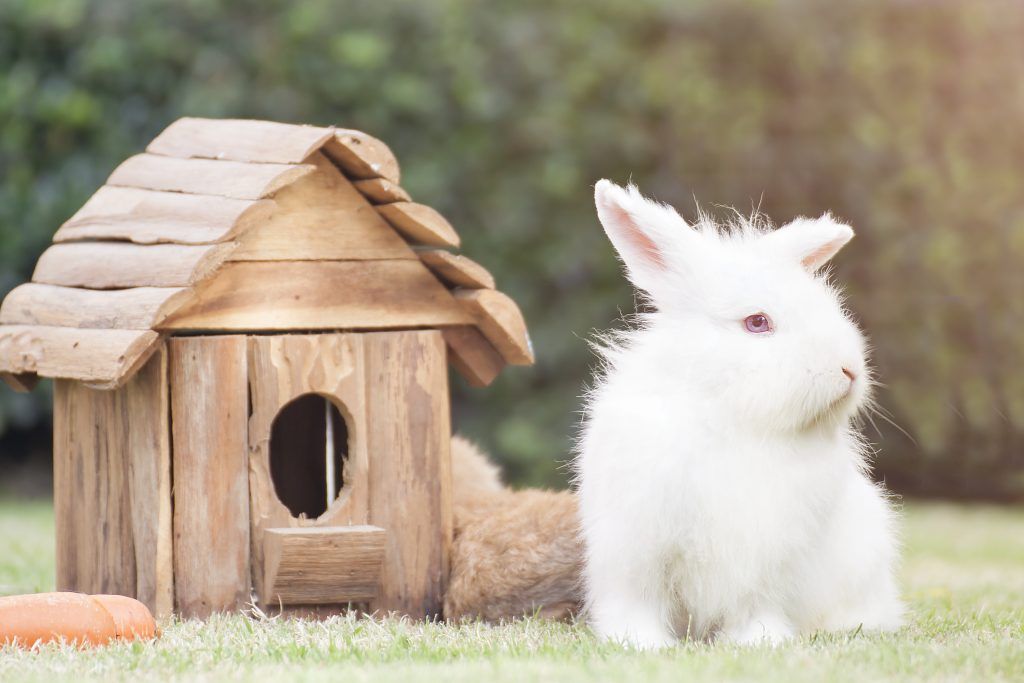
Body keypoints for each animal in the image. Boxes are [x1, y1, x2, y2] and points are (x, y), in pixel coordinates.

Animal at [577, 179, 905, 651]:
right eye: (757, 322)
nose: (849, 370)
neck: (732, 417)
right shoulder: (637, 548)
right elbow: (639, 604)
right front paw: (642, 644)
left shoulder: (769, 560)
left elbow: (755, 608)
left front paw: (759, 641)